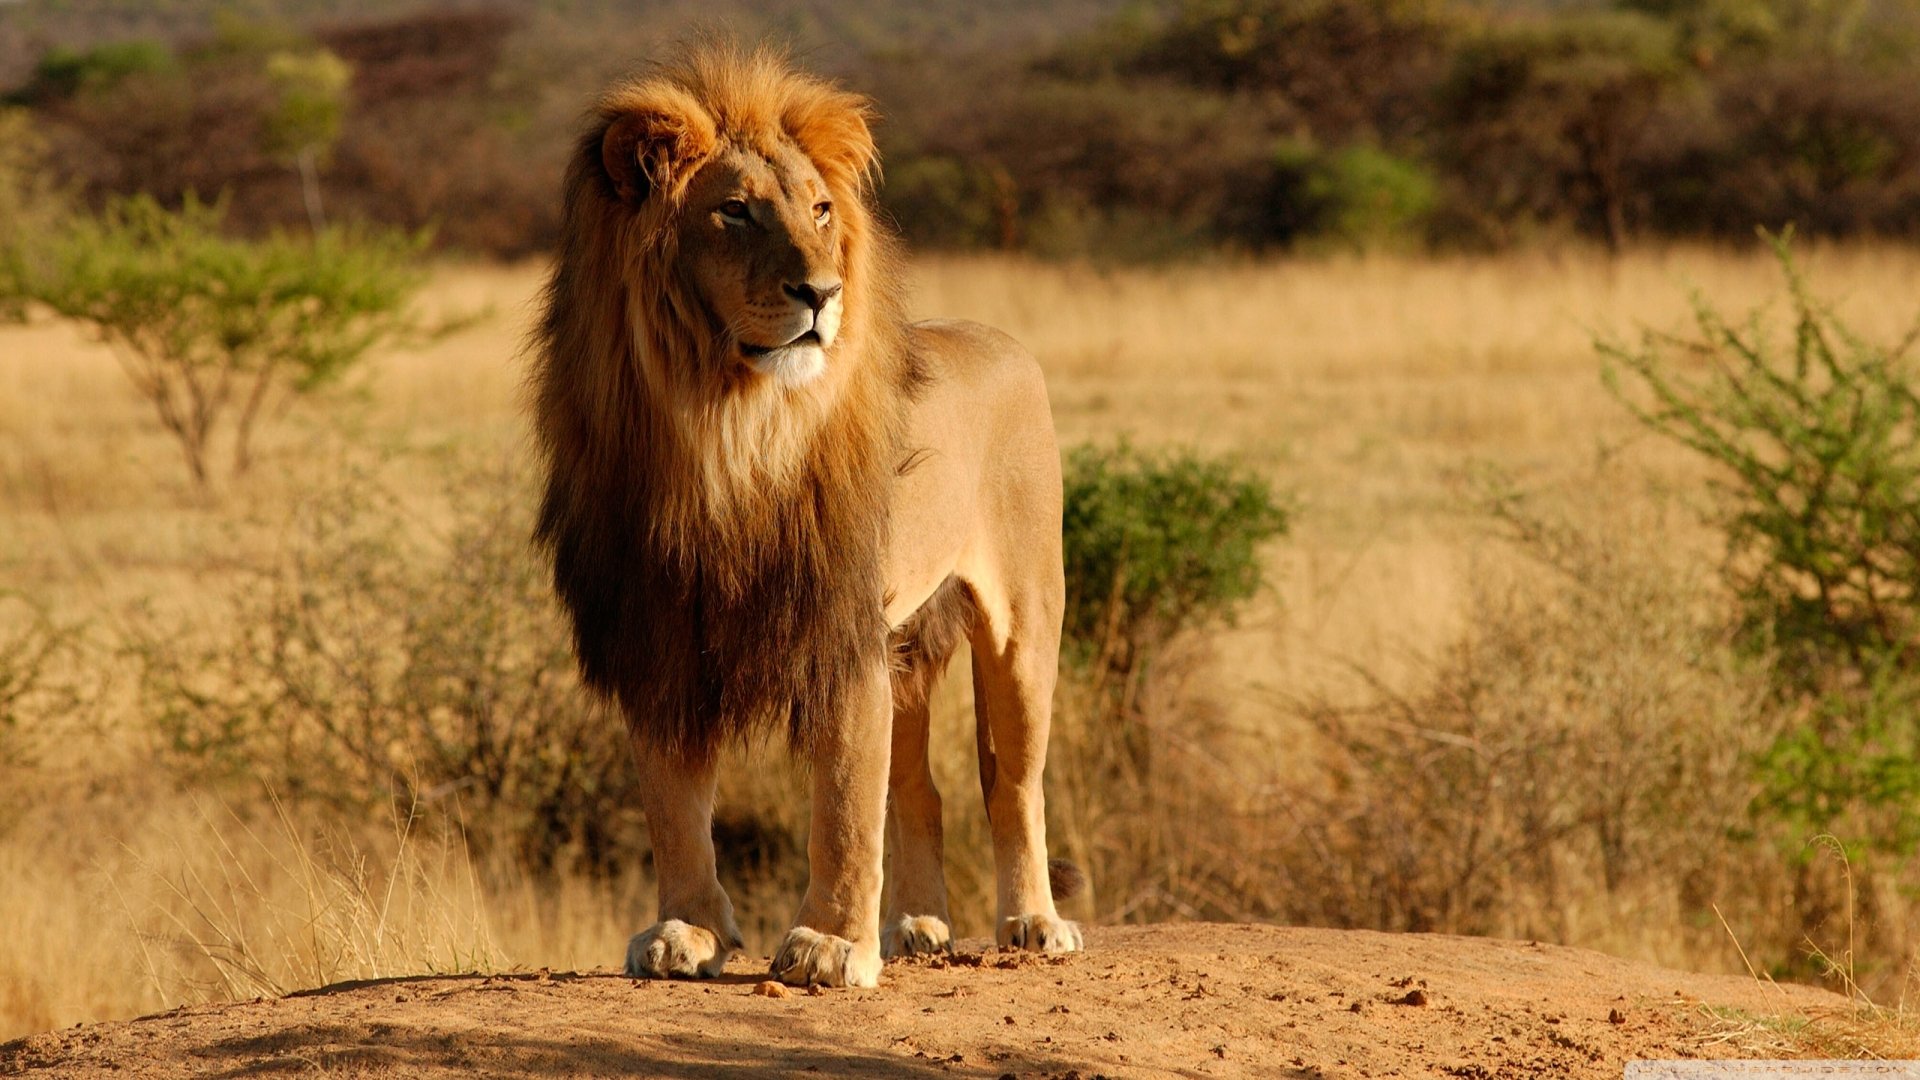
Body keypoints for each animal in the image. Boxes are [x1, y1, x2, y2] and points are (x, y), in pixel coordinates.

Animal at [530, 44, 1082, 989]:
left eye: (821, 211)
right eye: (735, 212)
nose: (821, 292)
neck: (725, 428)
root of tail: (1002, 340)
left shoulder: (839, 628)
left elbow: (844, 803)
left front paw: (829, 945)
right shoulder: (659, 632)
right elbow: (674, 803)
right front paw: (687, 931)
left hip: (1023, 623)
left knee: (1012, 783)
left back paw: (1033, 922)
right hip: (908, 645)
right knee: (921, 788)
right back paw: (917, 926)